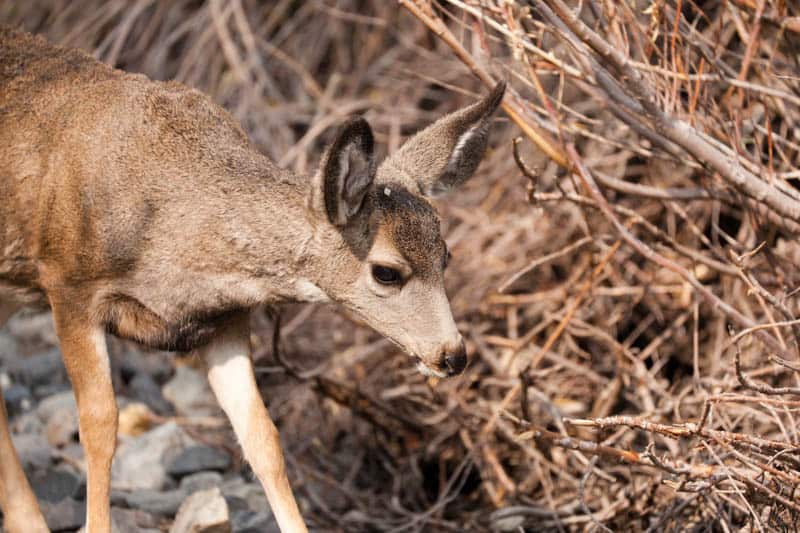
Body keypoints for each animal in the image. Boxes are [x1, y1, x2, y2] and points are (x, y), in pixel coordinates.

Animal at [0, 26, 504, 532]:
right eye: (386, 271)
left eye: (446, 256)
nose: (452, 355)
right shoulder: (68, 284)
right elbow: (101, 425)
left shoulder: (225, 319)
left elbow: (262, 437)